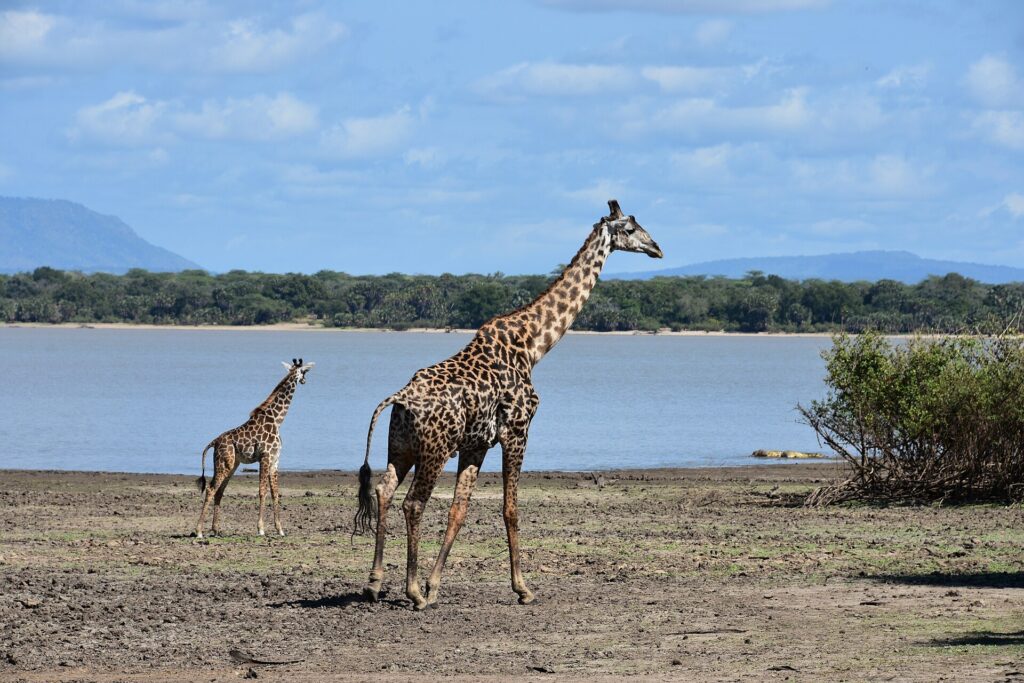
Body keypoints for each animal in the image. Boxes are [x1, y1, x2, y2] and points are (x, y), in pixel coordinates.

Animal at [193, 359, 314, 539]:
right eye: (304, 372)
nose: (305, 381)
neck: (277, 419)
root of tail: (214, 442)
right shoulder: (265, 456)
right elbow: (262, 491)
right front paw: (261, 528)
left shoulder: (275, 460)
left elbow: (275, 493)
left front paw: (280, 529)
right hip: (224, 464)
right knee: (210, 489)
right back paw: (199, 531)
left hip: (230, 464)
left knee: (219, 491)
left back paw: (216, 529)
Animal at [353, 199, 663, 610]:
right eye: (630, 228)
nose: (657, 248)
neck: (533, 345)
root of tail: (399, 399)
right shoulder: (518, 430)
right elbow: (510, 508)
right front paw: (522, 588)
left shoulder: (476, 444)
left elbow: (460, 509)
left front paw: (436, 585)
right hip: (434, 451)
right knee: (413, 504)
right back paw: (412, 591)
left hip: (400, 448)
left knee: (384, 491)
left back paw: (375, 583)